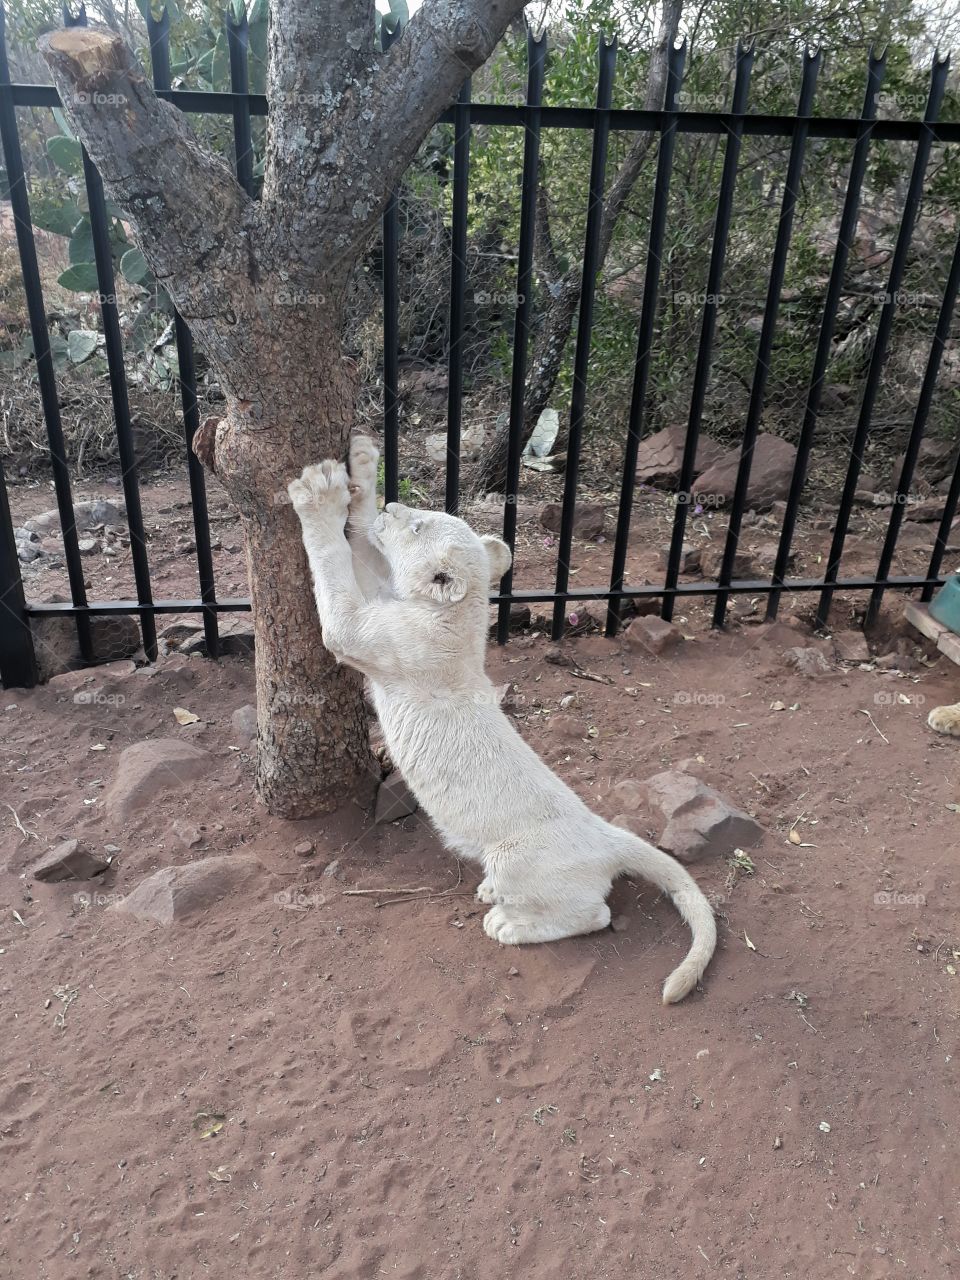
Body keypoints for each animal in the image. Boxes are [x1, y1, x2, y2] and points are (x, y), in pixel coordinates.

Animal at [287, 439, 717, 1004]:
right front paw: (361, 464)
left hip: (518, 858)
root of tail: (605, 836)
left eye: (417, 527)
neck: (456, 616)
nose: (392, 506)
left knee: (594, 914)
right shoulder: (384, 599)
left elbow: (335, 570)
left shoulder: (371, 635)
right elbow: (359, 546)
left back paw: (507, 923)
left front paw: (318, 495)